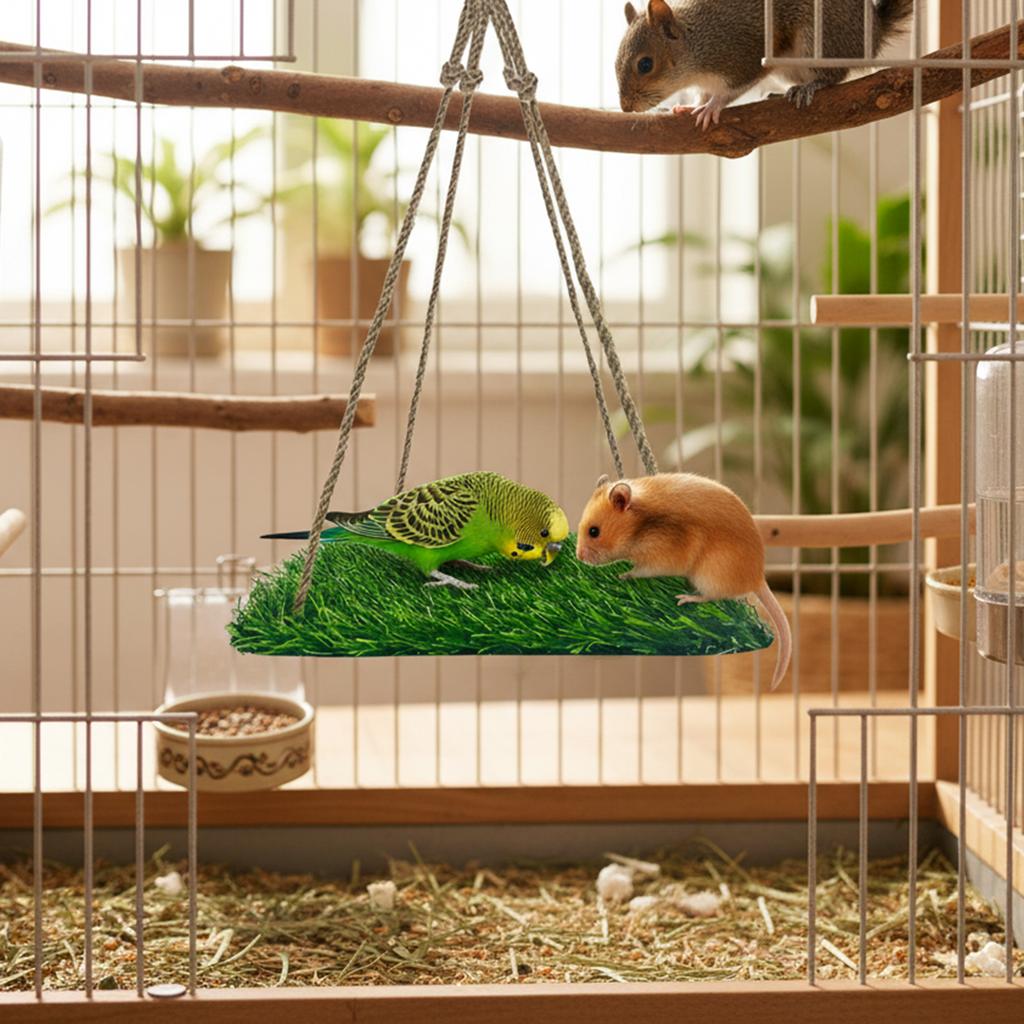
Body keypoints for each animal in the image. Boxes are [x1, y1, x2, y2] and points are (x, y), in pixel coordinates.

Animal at [576, 472, 792, 690]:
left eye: (594, 531)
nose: (579, 557)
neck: (638, 527)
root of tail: (758, 579)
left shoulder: (661, 555)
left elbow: (640, 570)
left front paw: (622, 576)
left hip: (708, 575)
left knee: (711, 596)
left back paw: (686, 598)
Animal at [616, 0, 913, 130]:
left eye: (645, 64)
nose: (626, 108)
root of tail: (872, 36)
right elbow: (704, 92)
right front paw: (693, 104)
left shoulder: (742, 57)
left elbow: (730, 89)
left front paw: (711, 106)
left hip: (820, 39)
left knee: (833, 75)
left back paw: (810, 87)